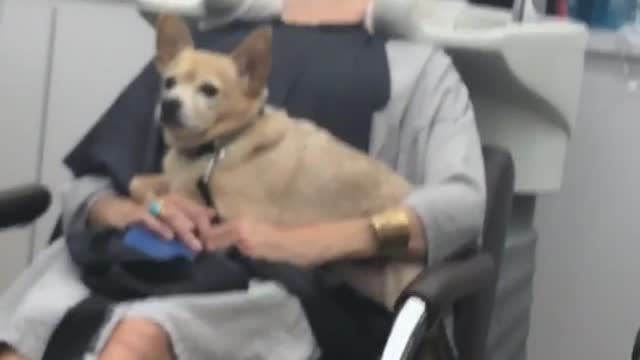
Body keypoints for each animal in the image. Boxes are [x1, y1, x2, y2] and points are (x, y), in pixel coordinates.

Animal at [129, 13, 420, 306]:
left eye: (209, 90)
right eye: (169, 82)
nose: (168, 104)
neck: (216, 148)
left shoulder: (232, 217)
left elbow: (186, 203)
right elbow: (138, 183)